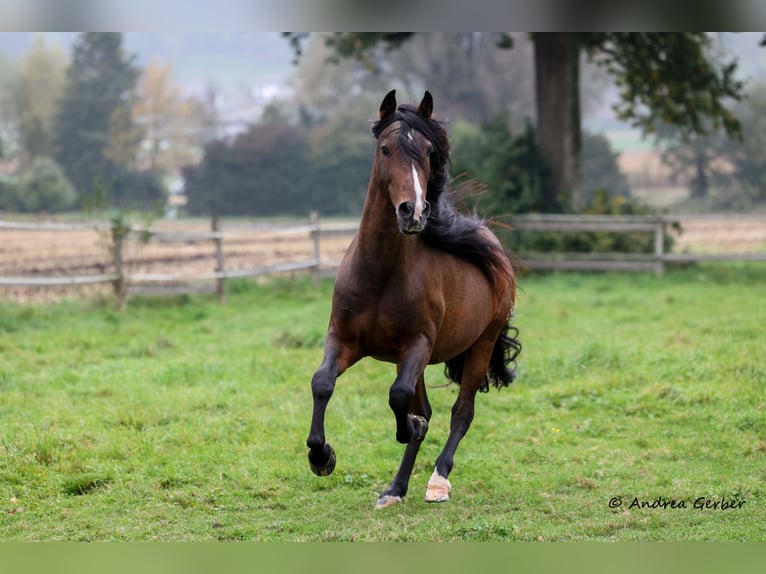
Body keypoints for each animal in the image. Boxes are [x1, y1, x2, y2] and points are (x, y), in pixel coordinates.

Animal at [306, 90, 521, 509]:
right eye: (385, 149)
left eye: (427, 150)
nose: (414, 212)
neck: (380, 273)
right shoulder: (344, 339)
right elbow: (322, 382)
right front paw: (321, 456)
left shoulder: (417, 344)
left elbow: (400, 398)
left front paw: (411, 427)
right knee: (427, 407)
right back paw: (395, 488)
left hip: (480, 344)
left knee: (461, 412)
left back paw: (438, 481)